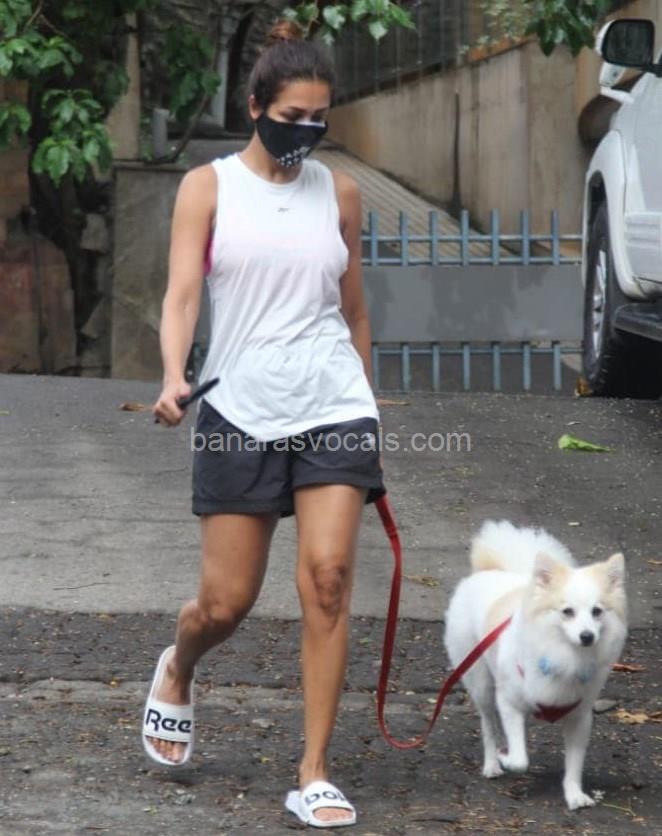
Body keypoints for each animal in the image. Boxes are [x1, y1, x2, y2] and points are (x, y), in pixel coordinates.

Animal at [443, 519, 627, 810]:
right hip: (481, 682)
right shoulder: (508, 703)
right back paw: (492, 763)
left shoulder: (579, 718)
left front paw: (574, 795)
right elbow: (520, 760)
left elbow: (574, 765)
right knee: (488, 725)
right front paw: (505, 758)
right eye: (567, 612)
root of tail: (491, 571)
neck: (565, 655)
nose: (587, 636)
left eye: (597, 611)